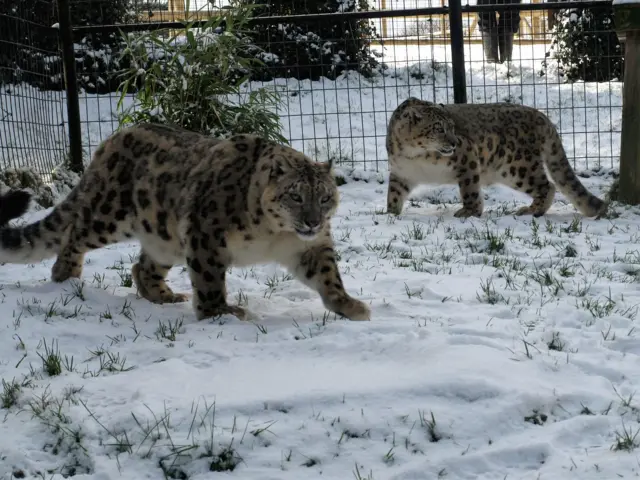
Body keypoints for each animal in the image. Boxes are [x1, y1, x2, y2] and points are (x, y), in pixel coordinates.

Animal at [0, 122, 370, 320]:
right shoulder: (207, 234)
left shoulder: (310, 247)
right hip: (108, 215)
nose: (312, 222)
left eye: (325, 197)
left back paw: (164, 296)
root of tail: (111, 141)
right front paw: (220, 313)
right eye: (295, 196)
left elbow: (327, 274)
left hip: (165, 238)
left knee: (142, 266)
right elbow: (209, 279)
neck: (274, 233)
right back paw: (66, 277)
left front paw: (348, 305)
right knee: (74, 234)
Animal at [388, 97, 608, 218]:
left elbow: (469, 189)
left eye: (452, 127)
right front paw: (390, 213)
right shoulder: (401, 173)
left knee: (548, 186)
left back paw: (531, 210)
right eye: (439, 128)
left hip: (517, 167)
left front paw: (470, 211)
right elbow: (394, 194)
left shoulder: (467, 158)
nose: (454, 142)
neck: (414, 155)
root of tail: (541, 116)